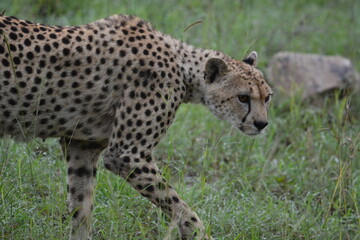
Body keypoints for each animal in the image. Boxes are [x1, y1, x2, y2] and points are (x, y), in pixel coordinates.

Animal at [0, 14, 272, 239]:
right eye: (243, 97)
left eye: (267, 97)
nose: (262, 124)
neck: (182, 67)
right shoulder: (127, 154)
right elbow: (180, 207)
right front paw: (199, 234)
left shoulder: (82, 146)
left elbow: (81, 206)